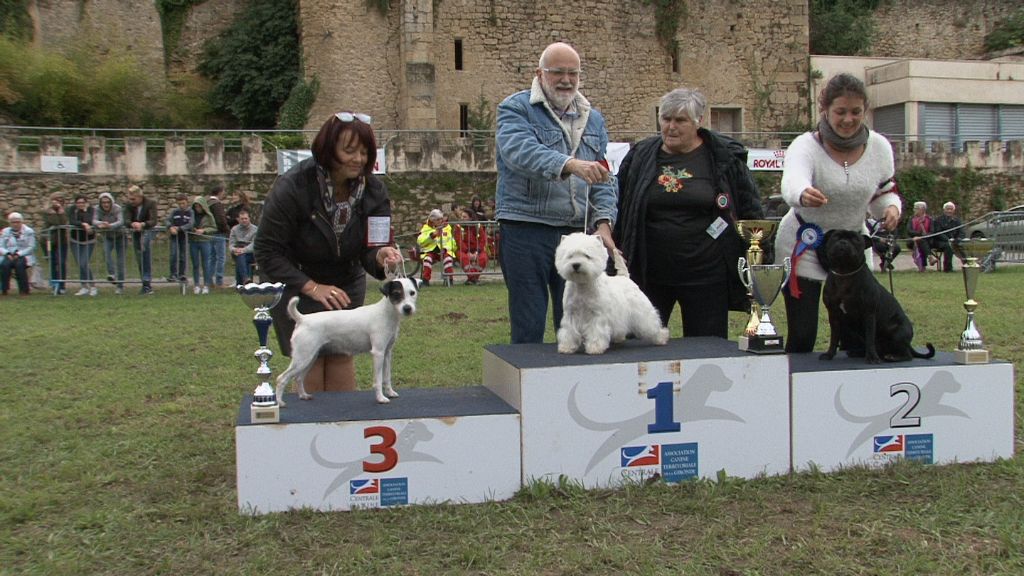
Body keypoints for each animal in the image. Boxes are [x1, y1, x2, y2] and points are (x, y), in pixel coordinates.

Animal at [819, 228, 933, 362]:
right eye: (835, 237)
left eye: (856, 240)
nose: (844, 242)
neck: (844, 272)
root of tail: (909, 344)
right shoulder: (834, 314)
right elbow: (834, 337)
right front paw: (829, 354)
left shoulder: (868, 313)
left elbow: (870, 337)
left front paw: (872, 358)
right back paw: (858, 353)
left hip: (897, 333)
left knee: (907, 355)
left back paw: (892, 356)